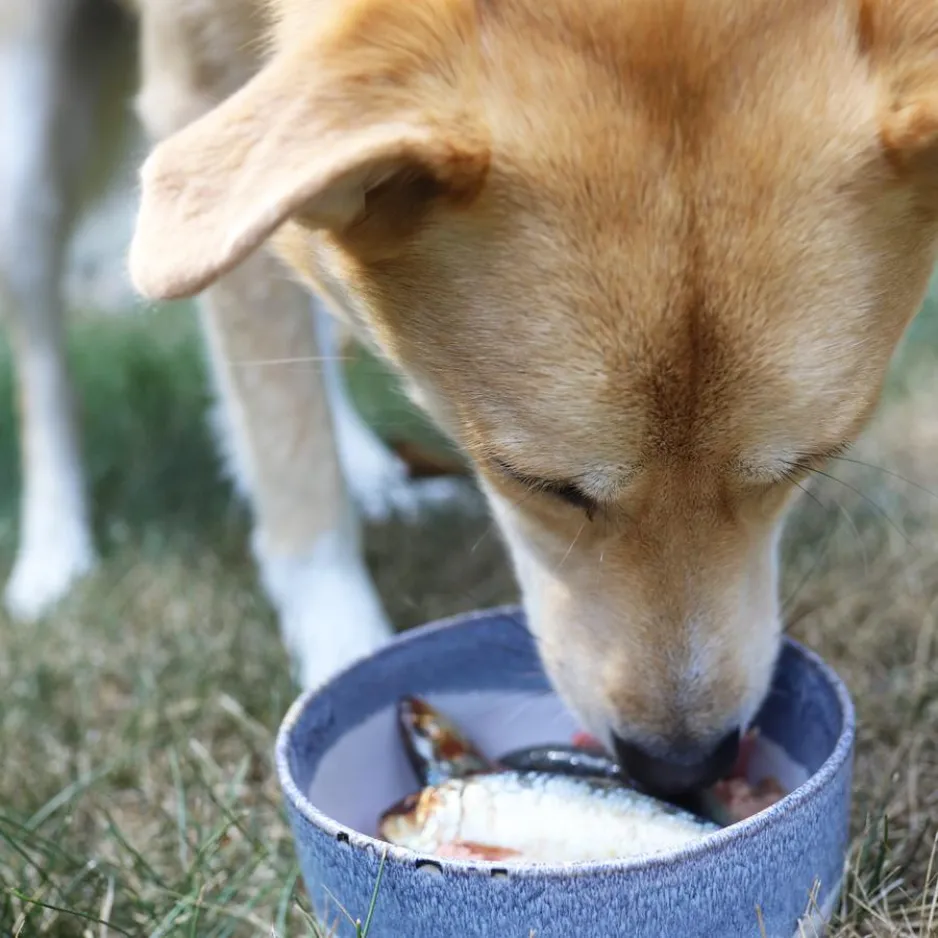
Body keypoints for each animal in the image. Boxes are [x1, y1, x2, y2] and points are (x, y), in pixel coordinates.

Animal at [128, 0, 932, 788]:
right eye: (540, 484)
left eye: (807, 466)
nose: (681, 767)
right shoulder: (200, 85)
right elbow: (286, 440)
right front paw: (342, 643)